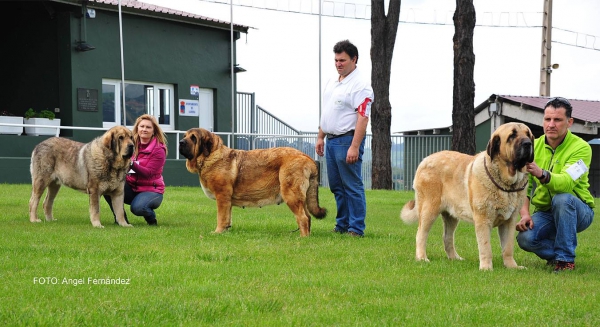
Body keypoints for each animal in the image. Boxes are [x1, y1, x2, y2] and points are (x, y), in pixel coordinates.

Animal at [179, 127, 328, 237]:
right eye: (185, 135)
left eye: (193, 138)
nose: (180, 142)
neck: (209, 156)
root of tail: (307, 157)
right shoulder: (227, 201)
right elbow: (227, 217)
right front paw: (225, 231)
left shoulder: (222, 197)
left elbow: (221, 217)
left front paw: (218, 232)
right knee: (307, 217)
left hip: (291, 195)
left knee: (302, 218)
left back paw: (302, 238)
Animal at [400, 123, 532, 272]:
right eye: (512, 136)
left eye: (528, 134)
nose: (528, 143)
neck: (507, 185)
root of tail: (424, 160)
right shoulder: (483, 220)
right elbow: (486, 247)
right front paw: (486, 268)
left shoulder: (509, 222)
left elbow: (508, 247)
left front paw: (512, 266)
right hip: (429, 209)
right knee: (421, 234)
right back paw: (422, 258)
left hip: (451, 216)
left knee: (447, 237)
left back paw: (454, 258)